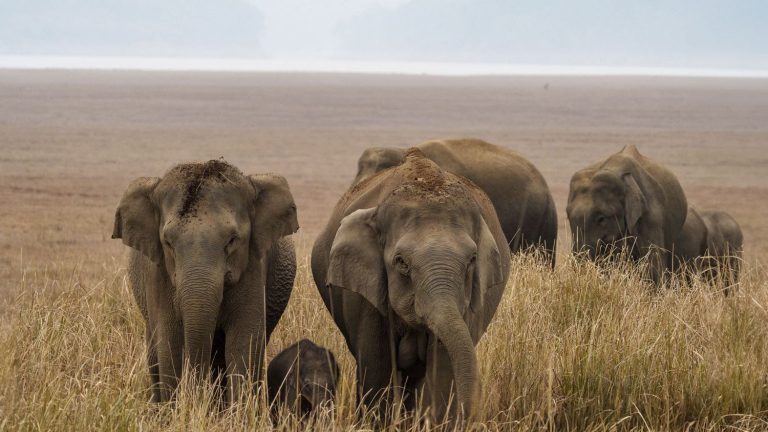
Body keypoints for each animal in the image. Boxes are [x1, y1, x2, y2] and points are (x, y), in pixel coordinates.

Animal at [112, 159, 298, 404]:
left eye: (232, 240)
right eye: (168, 242)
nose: (197, 395)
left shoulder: (253, 266)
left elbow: (244, 343)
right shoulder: (158, 275)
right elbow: (170, 344)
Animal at [312, 148, 510, 422]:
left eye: (472, 260)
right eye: (401, 262)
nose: (471, 415)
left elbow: (442, 367)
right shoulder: (367, 296)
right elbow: (378, 367)